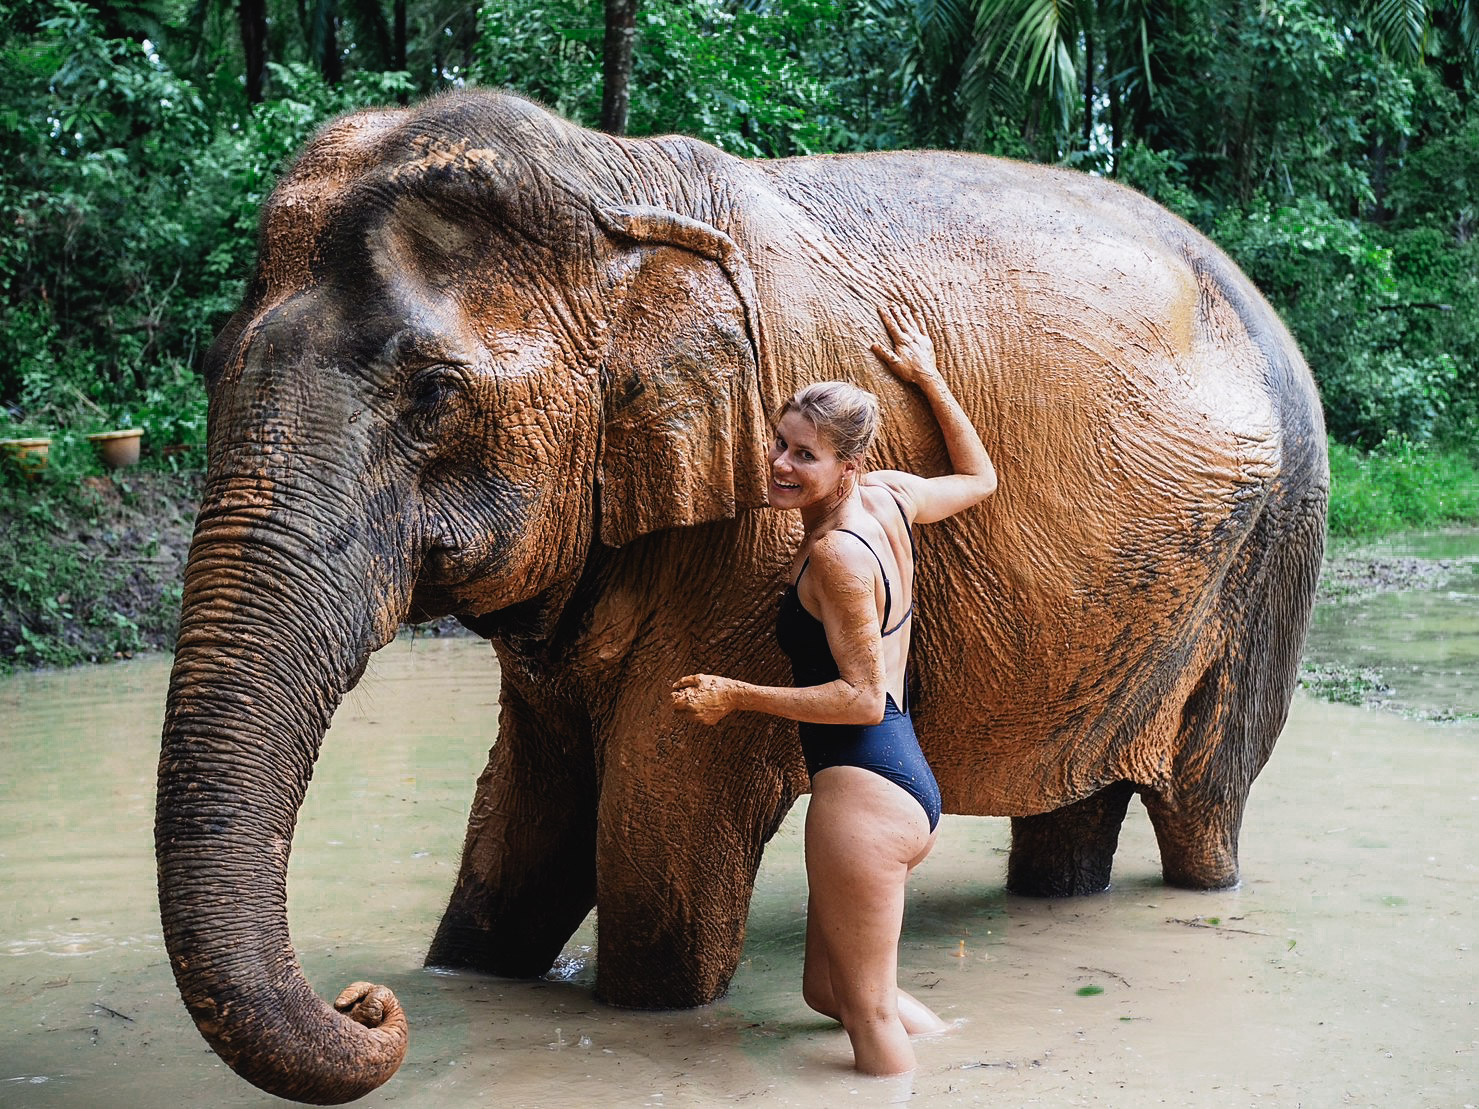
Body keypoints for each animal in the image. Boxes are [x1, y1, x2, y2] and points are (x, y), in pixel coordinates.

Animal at [153, 89, 1331, 1106]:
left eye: (435, 395)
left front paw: (640, 1008)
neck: (614, 182)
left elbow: (660, 840)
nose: (367, 1000)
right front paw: (467, 978)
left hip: (1276, 551)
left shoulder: (752, 533)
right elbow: (524, 808)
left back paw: (1199, 885)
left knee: (1207, 799)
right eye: (210, 364)